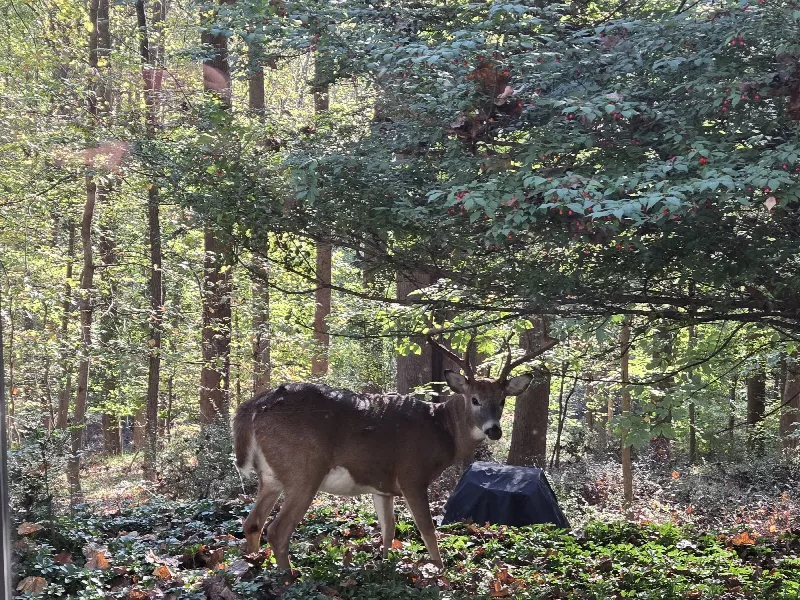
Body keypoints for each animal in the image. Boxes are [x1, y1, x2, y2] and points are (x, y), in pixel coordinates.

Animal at [232, 336, 555, 570]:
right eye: (474, 399)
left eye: (502, 401)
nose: (494, 431)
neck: (443, 428)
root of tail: (254, 406)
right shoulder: (413, 475)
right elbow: (426, 529)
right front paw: (440, 571)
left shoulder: (382, 486)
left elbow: (388, 529)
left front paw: (384, 564)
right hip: (305, 469)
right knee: (277, 529)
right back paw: (289, 576)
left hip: (272, 476)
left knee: (252, 523)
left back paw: (254, 563)